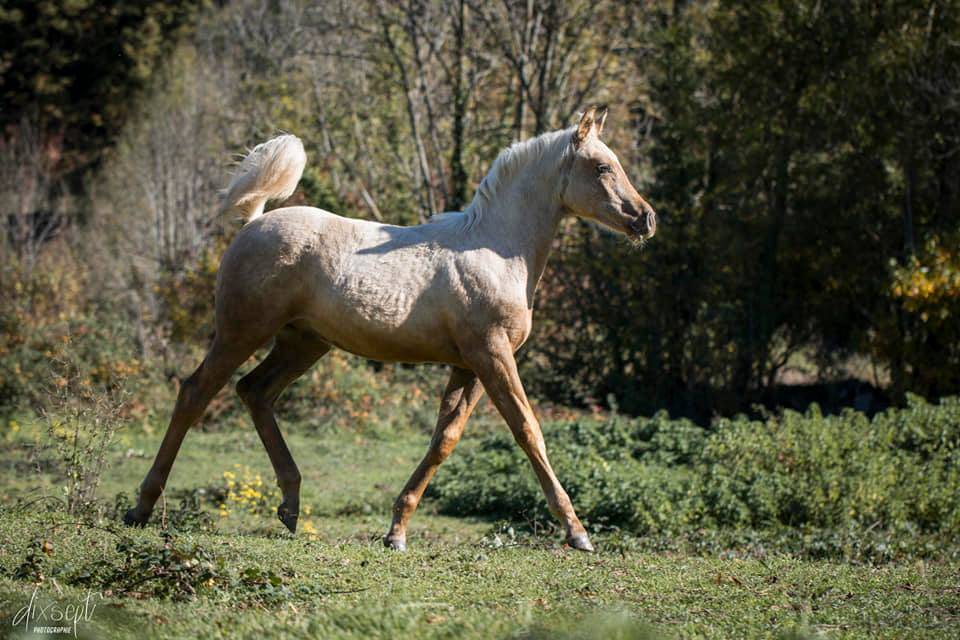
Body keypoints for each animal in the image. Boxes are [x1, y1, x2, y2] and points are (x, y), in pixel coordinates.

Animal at [123, 106, 656, 552]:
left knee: (254, 391)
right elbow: (528, 431)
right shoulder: (492, 354)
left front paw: (396, 531)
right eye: (602, 167)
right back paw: (141, 508)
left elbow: (445, 439)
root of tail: (254, 222)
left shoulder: (469, 364)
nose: (645, 219)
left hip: (303, 343)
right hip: (242, 332)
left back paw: (290, 508)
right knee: (195, 392)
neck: (496, 249)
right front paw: (578, 532)